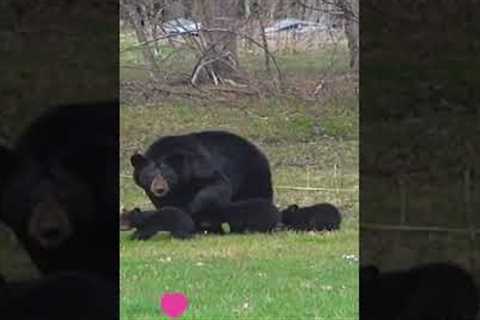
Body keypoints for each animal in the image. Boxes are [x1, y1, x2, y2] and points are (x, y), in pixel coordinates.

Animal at [131, 130, 274, 232]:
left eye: (167, 176)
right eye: (150, 175)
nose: (159, 189)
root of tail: (259, 151)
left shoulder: (197, 166)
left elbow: (218, 184)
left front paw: (193, 210)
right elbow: (167, 206)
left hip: (251, 174)